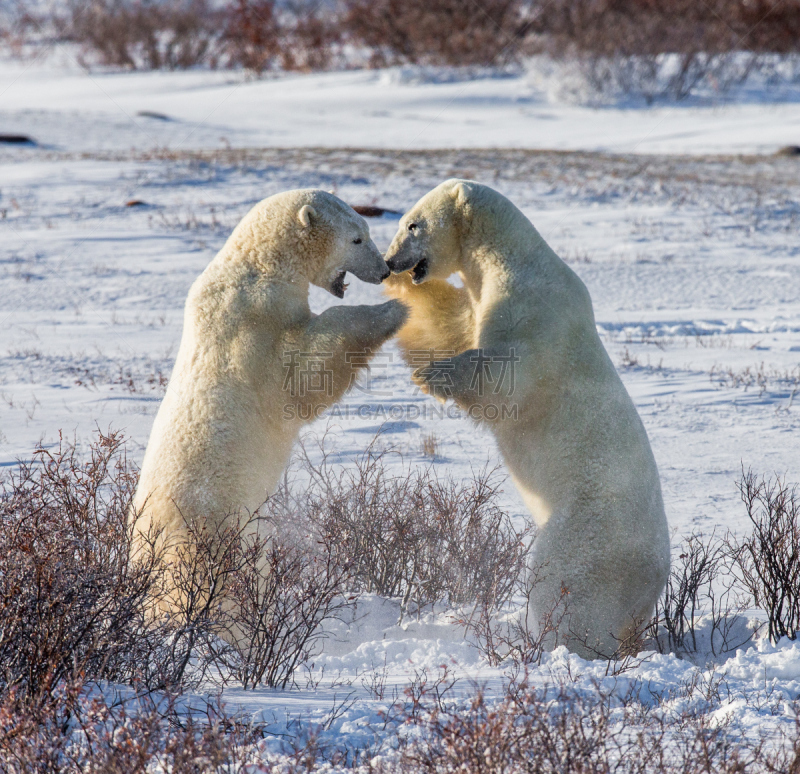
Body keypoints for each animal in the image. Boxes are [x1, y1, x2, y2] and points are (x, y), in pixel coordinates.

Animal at [136, 188, 406, 560]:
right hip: (213, 522)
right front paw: (395, 309)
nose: (383, 271)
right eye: (357, 238)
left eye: (364, 231)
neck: (259, 267)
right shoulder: (255, 323)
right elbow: (303, 373)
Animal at [384, 182, 672, 660]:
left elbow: (507, 379)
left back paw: (553, 645)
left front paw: (433, 374)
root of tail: (655, 581)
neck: (512, 257)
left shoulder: (534, 310)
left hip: (589, 532)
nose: (390, 262)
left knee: (565, 585)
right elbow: (453, 324)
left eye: (412, 224)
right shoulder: (485, 303)